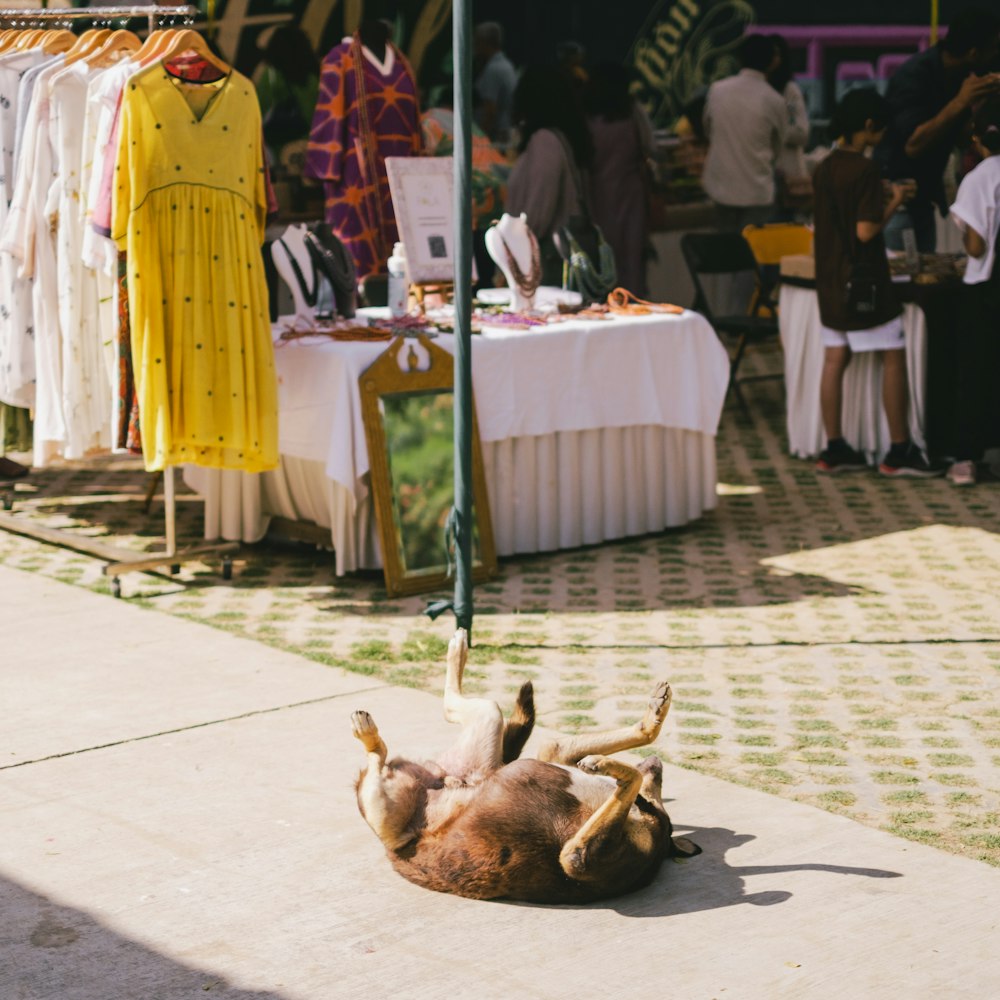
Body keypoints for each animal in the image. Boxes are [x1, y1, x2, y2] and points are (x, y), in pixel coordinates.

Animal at [352, 628, 704, 904]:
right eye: (658, 783)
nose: (657, 763)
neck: (648, 818)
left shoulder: (578, 858)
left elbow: (627, 780)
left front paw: (607, 764)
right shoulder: (558, 760)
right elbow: (571, 749)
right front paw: (648, 721)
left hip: (387, 808)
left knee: (386, 753)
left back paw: (371, 737)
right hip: (485, 739)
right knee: (462, 707)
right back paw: (457, 649)